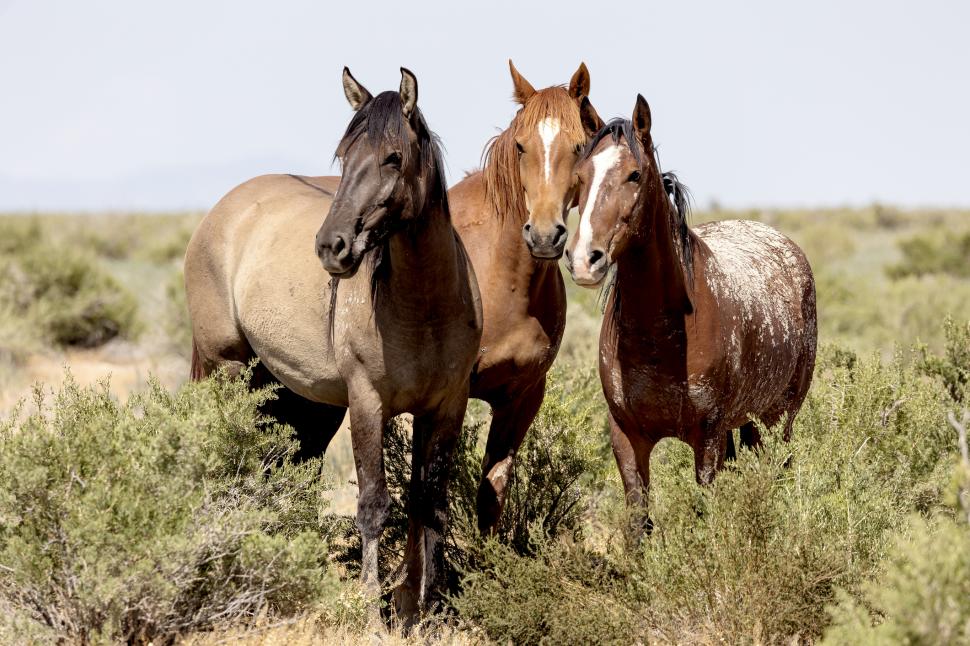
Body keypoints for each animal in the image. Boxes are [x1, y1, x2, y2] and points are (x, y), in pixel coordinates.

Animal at [182, 68, 480, 620]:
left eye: (393, 157)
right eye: (344, 156)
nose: (331, 246)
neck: (425, 307)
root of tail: (222, 211)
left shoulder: (446, 407)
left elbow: (430, 505)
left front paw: (420, 613)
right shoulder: (367, 402)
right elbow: (374, 505)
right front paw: (370, 612)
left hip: (297, 395)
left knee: (284, 472)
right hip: (225, 368)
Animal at [564, 95, 812, 520]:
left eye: (634, 175)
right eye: (580, 176)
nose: (584, 259)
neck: (660, 335)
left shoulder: (707, 438)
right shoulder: (627, 439)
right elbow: (639, 520)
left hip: (779, 419)